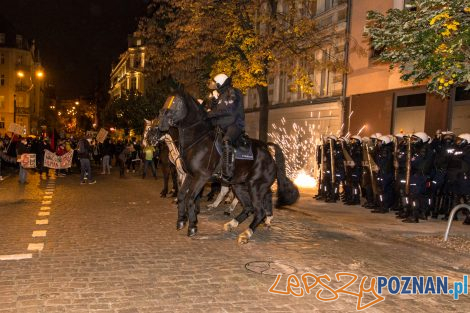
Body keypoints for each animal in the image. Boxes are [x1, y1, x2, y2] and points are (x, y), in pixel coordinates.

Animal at [158, 91, 298, 243]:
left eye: (176, 102)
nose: (161, 122)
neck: (198, 140)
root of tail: (267, 150)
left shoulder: (201, 177)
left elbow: (190, 198)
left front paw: (193, 226)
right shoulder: (190, 175)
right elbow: (182, 195)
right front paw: (181, 220)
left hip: (255, 187)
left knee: (259, 211)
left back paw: (247, 233)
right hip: (239, 186)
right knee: (249, 207)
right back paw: (233, 223)